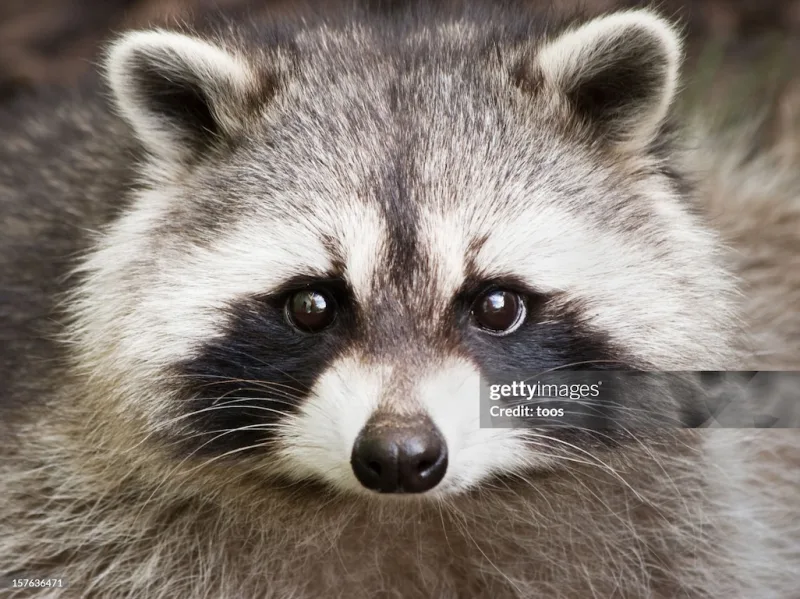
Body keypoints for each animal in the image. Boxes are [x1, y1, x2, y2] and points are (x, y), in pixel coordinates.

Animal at [0, 1, 798, 598]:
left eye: (497, 305)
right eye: (312, 305)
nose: (398, 456)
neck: (403, 515)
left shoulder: (685, 521)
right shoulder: (68, 508)